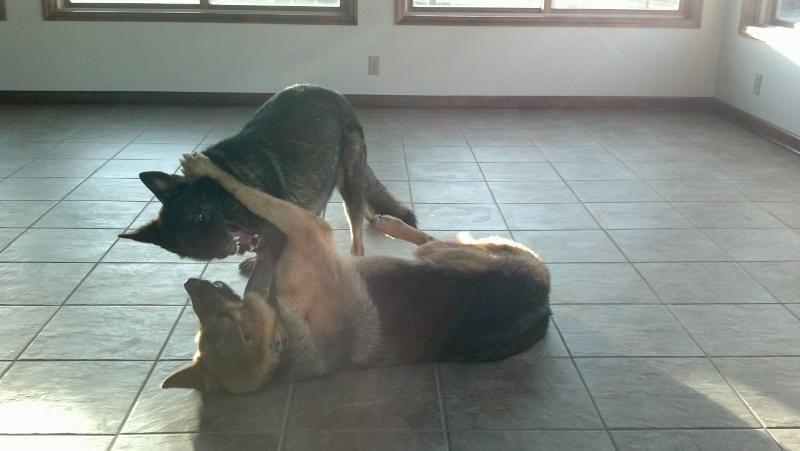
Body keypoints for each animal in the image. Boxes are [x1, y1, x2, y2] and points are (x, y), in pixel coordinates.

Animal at [119, 84, 415, 273]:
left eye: (200, 216)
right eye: (190, 246)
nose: (222, 248)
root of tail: (336, 95)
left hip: (348, 182)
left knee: (356, 225)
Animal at [161, 153, 551, 394]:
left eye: (217, 320)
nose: (190, 283)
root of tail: (544, 304)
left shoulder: (303, 225)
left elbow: (254, 197)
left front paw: (208, 170)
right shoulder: (305, 228)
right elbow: (257, 201)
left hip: (441, 253)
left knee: (427, 238)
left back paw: (391, 223)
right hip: (440, 254)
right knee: (427, 239)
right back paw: (393, 225)